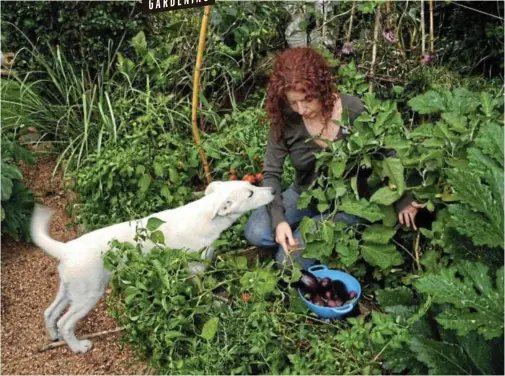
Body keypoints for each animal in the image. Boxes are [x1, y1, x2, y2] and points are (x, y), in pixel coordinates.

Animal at [29, 181, 274, 354]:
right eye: (250, 194)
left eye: (252, 187)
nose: (272, 189)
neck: (206, 215)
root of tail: (66, 249)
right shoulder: (195, 269)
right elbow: (203, 293)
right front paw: (212, 305)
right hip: (88, 295)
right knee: (65, 322)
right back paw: (78, 347)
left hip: (70, 290)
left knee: (50, 312)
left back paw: (53, 336)